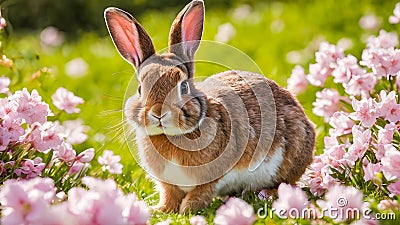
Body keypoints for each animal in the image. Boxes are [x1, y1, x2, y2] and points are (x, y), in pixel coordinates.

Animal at [104, 0, 316, 214]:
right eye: (140, 88)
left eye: (183, 86)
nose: (158, 113)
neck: (170, 135)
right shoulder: (168, 183)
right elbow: (169, 196)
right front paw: (160, 210)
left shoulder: (212, 178)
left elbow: (200, 194)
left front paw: (187, 210)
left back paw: (268, 194)